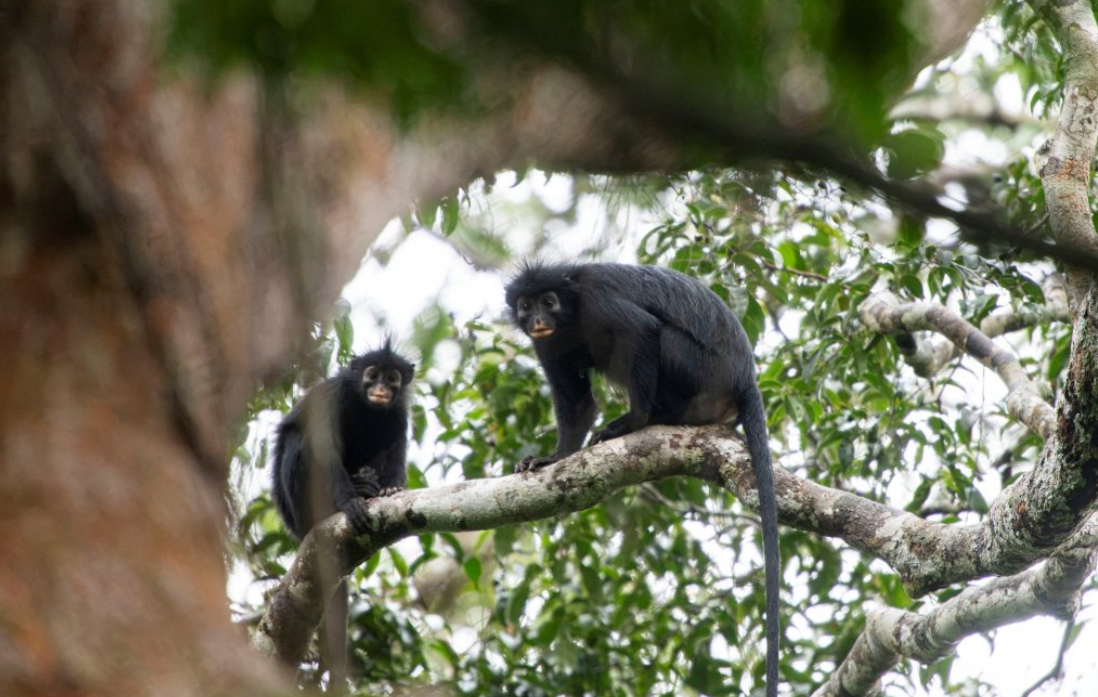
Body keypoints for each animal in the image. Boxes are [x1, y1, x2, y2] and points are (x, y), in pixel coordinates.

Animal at [271, 340, 415, 689]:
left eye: (392, 378)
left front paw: (390, 489)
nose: (380, 388)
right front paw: (349, 503)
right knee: (299, 439)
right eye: (372, 374)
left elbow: (396, 444)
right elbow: (323, 448)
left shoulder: (399, 413)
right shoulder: (332, 397)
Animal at [505, 262, 780, 697]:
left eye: (548, 302)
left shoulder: (598, 299)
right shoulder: (548, 345)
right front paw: (553, 458)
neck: (571, 313)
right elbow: (577, 403)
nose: (537, 320)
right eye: (525, 306)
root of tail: (744, 377)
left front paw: (633, 421)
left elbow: (642, 330)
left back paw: (653, 417)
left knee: (659, 336)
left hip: (699, 369)